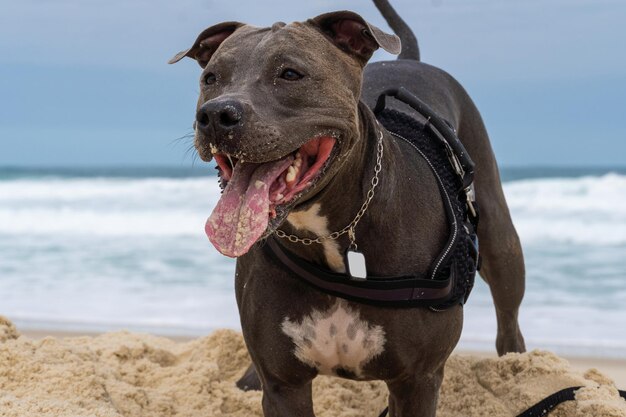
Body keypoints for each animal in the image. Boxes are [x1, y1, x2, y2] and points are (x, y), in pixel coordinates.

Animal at [168, 1, 524, 414]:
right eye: (211, 78)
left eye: (290, 74)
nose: (215, 114)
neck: (328, 234)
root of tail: (410, 61)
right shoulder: (284, 386)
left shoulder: (417, 381)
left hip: (499, 235)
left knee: (508, 317)